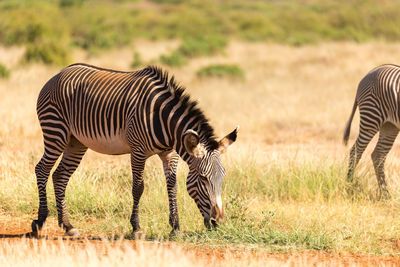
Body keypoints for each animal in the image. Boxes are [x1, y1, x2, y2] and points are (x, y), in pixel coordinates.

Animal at [32, 63, 238, 238]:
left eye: (223, 177)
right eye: (203, 178)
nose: (219, 222)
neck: (164, 120)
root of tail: (58, 74)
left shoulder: (169, 153)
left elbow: (172, 187)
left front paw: (175, 227)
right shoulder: (138, 151)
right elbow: (138, 188)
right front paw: (137, 228)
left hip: (76, 142)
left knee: (60, 176)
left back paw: (68, 226)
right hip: (55, 131)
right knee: (41, 169)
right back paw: (40, 220)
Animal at [342, 65, 400, 199]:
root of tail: (371, 71)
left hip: (390, 126)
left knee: (378, 155)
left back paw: (385, 195)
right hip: (371, 118)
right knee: (355, 152)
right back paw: (348, 187)